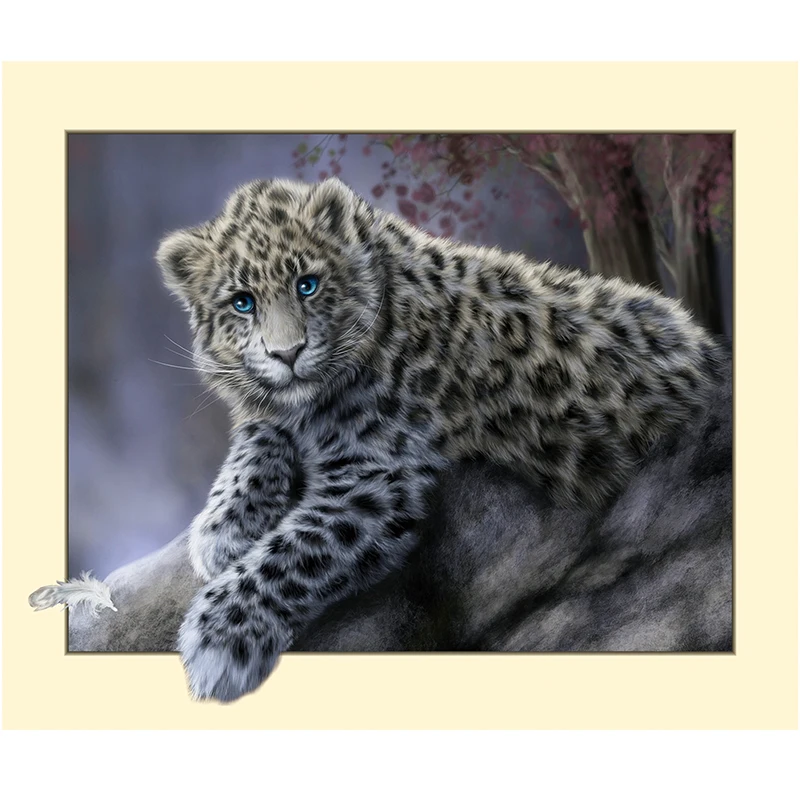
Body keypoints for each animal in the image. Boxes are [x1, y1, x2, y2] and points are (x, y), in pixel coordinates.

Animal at [156, 176, 728, 702]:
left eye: (308, 285)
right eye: (242, 303)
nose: (287, 353)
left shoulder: (376, 477)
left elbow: (290, 553)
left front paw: (216, 642)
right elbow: (256, 435)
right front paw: (223, 528)